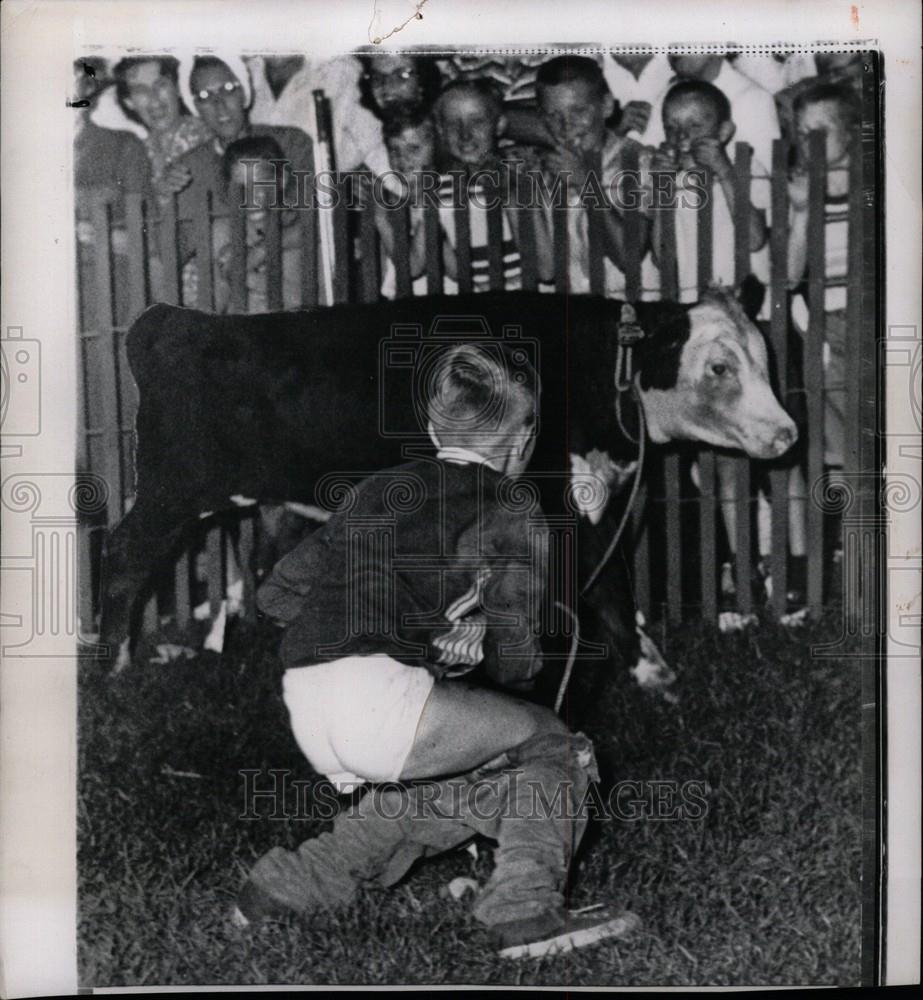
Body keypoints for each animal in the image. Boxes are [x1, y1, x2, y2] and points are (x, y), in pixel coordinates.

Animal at [99, 290, 796, 680]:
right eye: (719, 366)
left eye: (766, 358)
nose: (787, 433)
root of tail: (176, 322)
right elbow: (601, 591)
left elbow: (611, 587)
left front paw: (651, 670)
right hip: (171, 492)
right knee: (123, 558)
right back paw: (115, 665)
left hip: (269, 501)